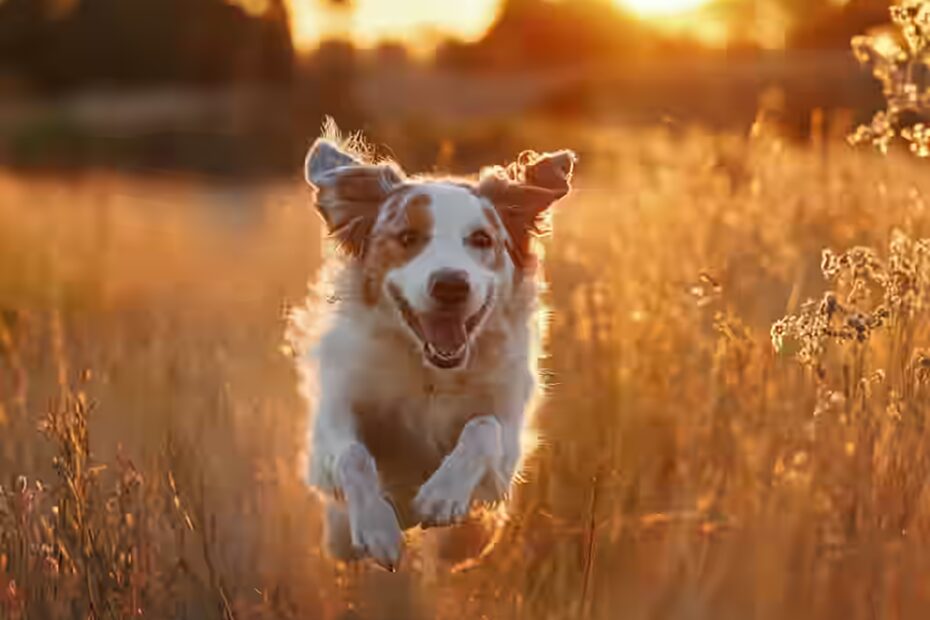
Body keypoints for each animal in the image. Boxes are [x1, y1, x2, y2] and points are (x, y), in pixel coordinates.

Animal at [286, 118, 572, 568]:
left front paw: (441, 495)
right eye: (407, 237)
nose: (451, 285)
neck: (431, 376)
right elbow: (352, 455)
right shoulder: (331, 421)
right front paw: (377, 528)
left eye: (481, 239)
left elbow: (483, 427)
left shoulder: (507, 439)